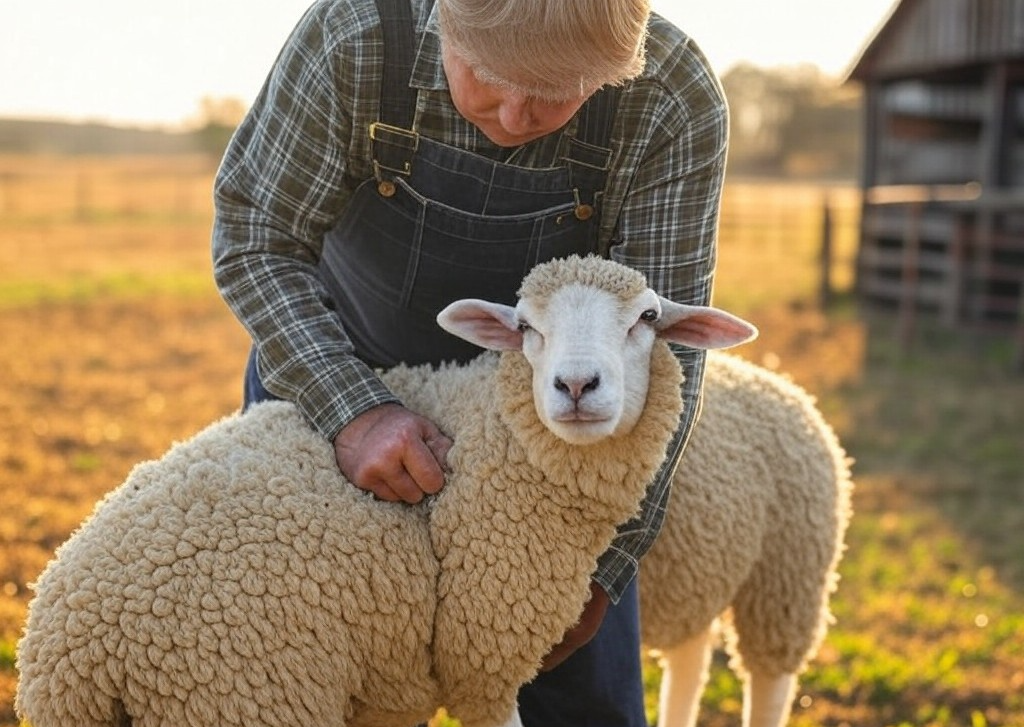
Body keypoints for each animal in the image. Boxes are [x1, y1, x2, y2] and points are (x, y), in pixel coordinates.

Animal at [14, 255, 753, 727]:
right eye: (524, 327)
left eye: (648, 318)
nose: (575, 386)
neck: (479, 429)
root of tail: (71, 653)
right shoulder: (480, 660)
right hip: (247, 697)